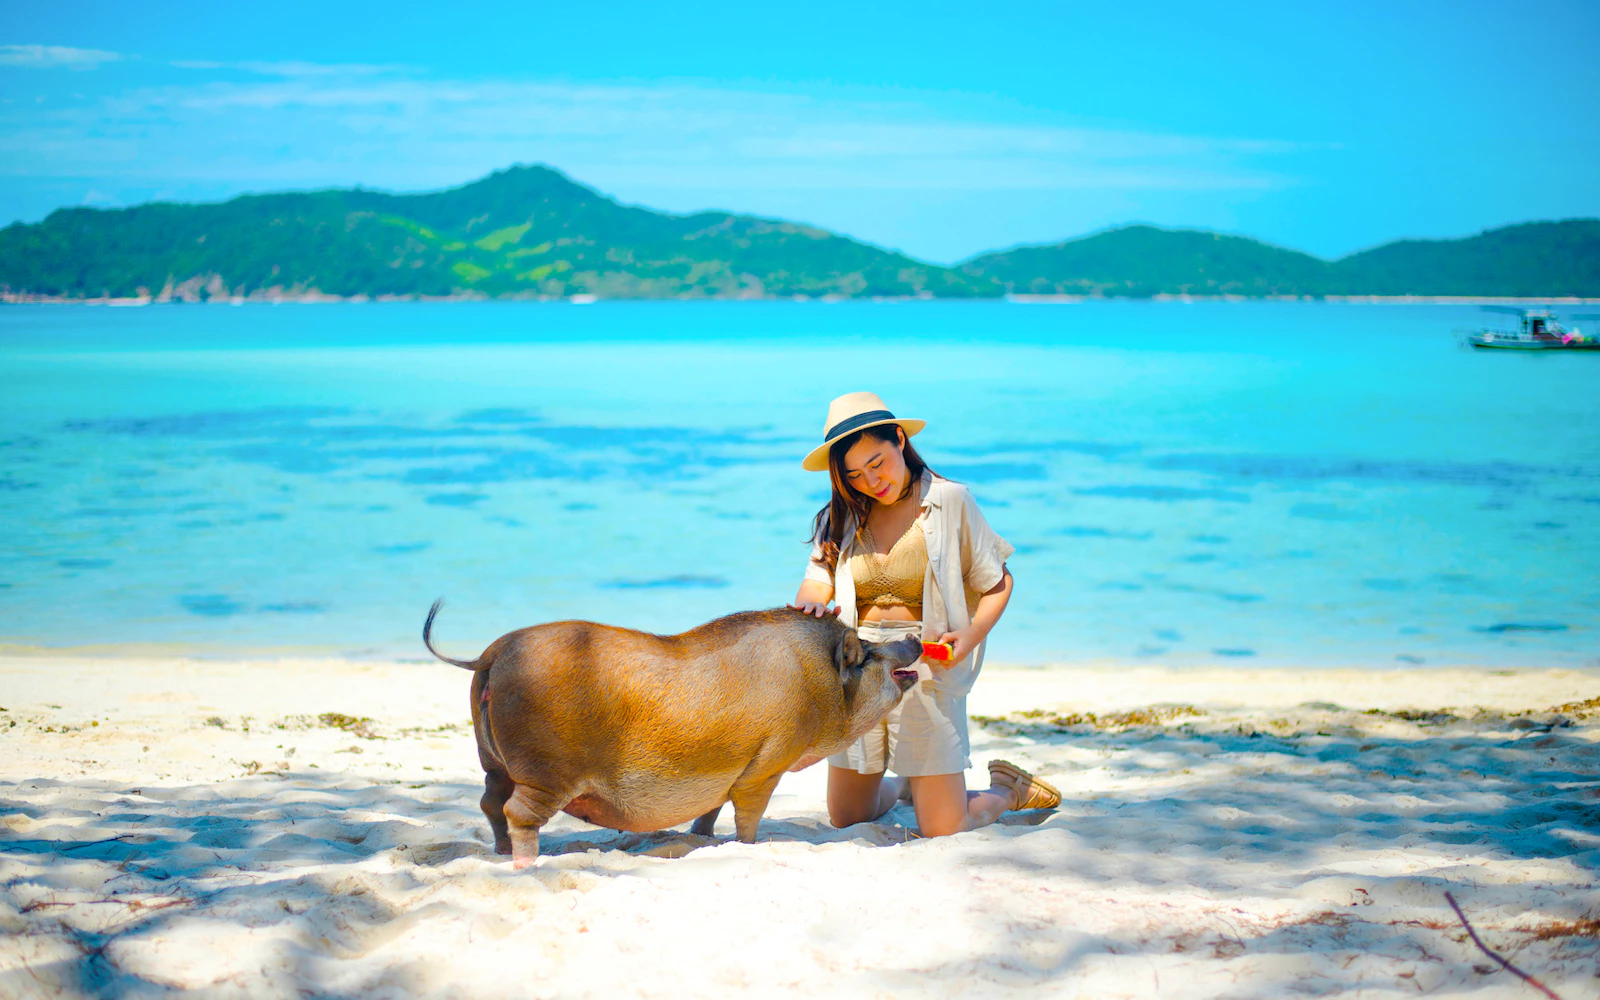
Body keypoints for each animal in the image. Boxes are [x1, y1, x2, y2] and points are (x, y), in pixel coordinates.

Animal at [422, 601, 923, 867]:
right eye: (869, 654)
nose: (914, 638)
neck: (819, 687)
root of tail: (490, 654)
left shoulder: (728, 768)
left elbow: (712, 808)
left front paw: (703, 839)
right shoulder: (768, 762)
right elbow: (748, 813)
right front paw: (747, 847)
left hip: (492, 760)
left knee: (489, 802)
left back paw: (501, 853)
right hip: (546, 769)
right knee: (517, 811)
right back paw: (527, 862)